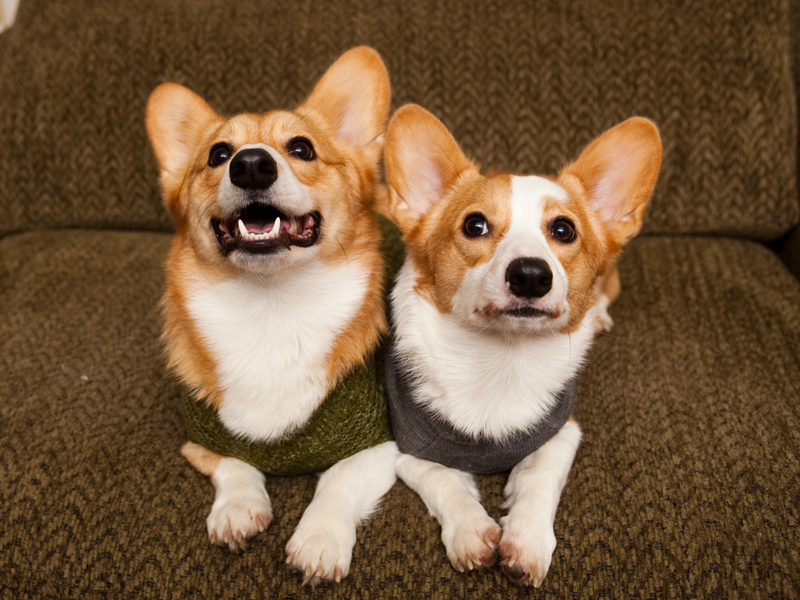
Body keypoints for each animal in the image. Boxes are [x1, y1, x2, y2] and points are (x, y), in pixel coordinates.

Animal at [145, 49, 400, 584]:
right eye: (218, 155)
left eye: (302, 148)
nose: (251, 165)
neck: (272, 306)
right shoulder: (201, 442)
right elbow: (236, 465)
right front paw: (238, 510)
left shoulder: (378, 446)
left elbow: (337, 484)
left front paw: (319, 541)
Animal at [382, 105, 664, 588]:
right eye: (474, 225)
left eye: (564, 230)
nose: (531, 275)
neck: (502, 359)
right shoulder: (406, 450)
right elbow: (446, 481)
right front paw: (471, 533)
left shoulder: (563, 433)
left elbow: (537, 480)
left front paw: (526, 542)